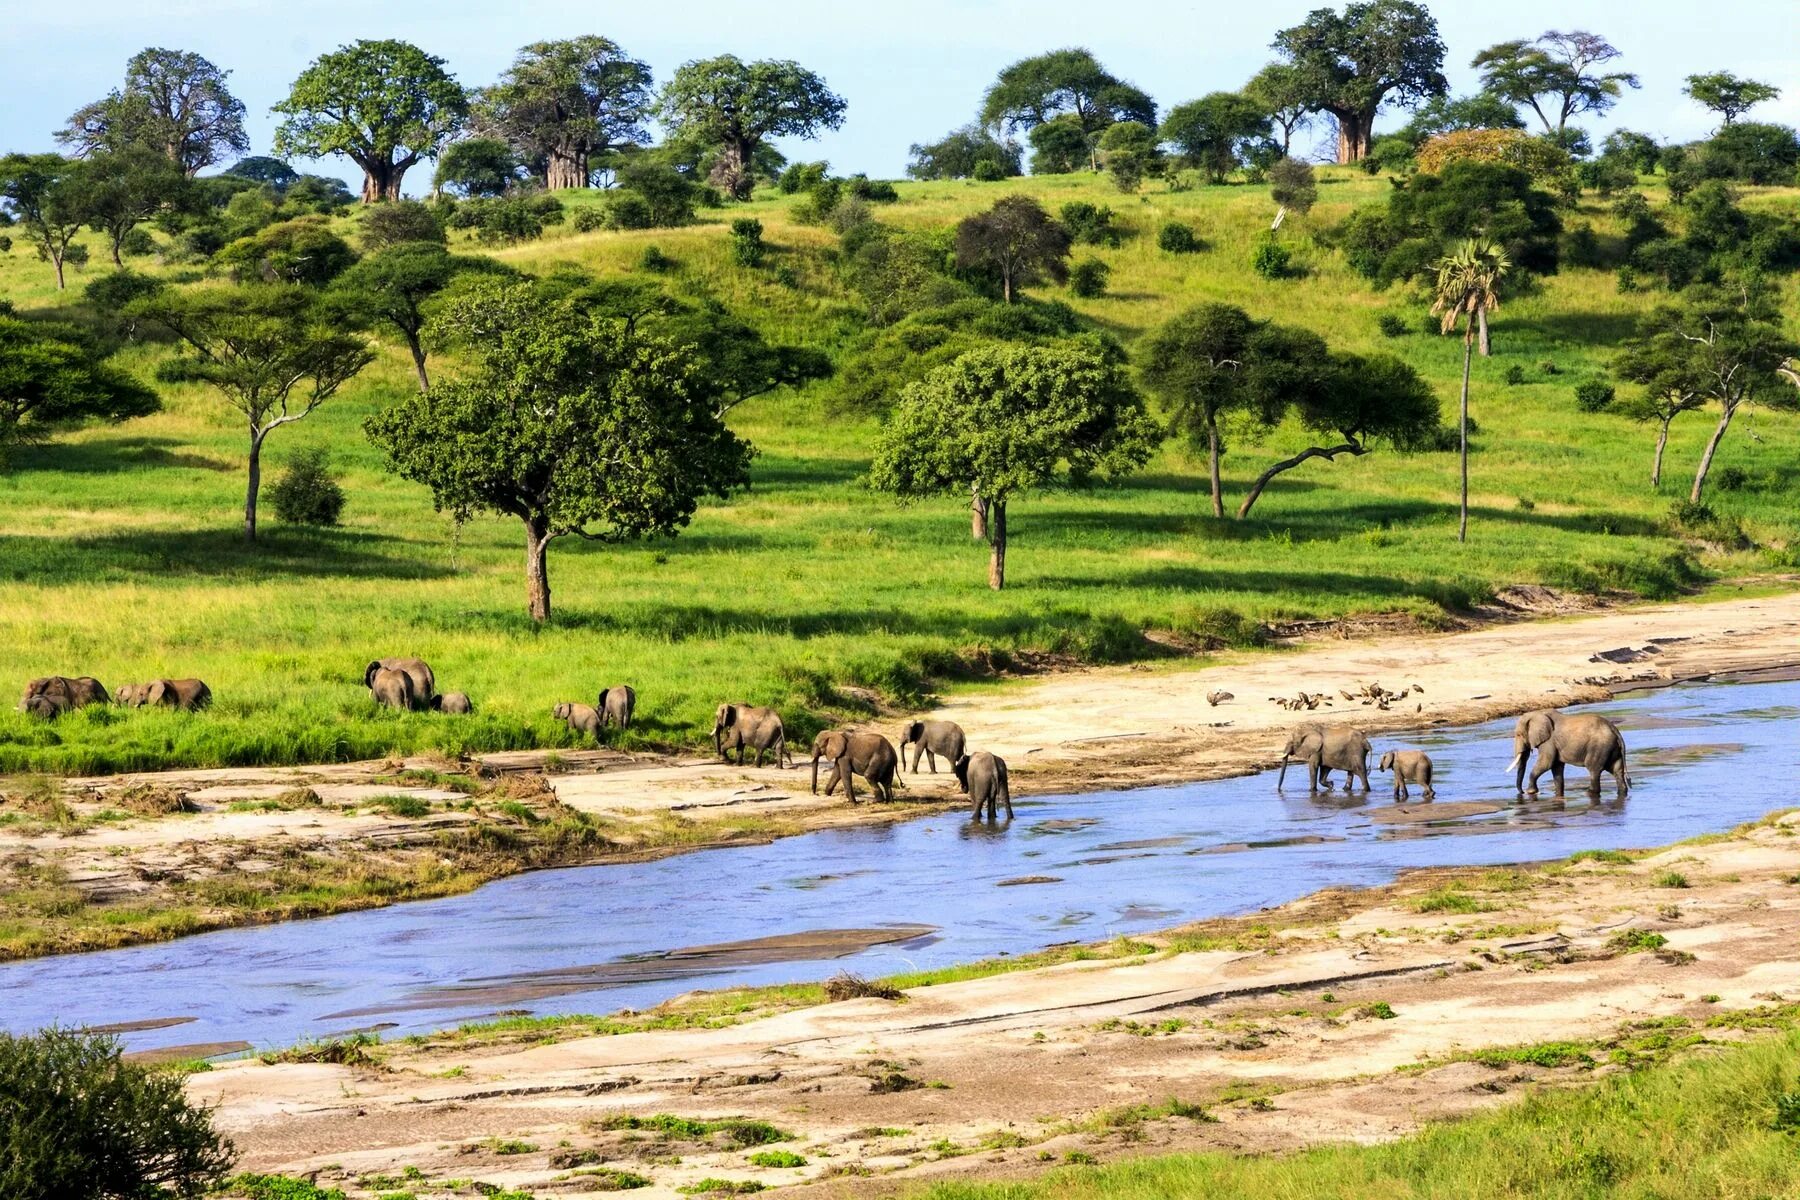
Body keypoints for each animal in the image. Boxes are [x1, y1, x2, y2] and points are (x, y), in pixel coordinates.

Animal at [1504, 712, 1634, 798]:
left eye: (1519, 734)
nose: (1521, 792)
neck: (1537, 713)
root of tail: (1615, 730)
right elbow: (1556, 767)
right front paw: (1558, 794)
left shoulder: (1549, 741)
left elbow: (1546, 763)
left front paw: (1531, 792)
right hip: (1612, 748)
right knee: (1617, 770)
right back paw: (1622, 792)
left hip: (1600, 747)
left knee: (1594, 770)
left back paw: (1588, 793)